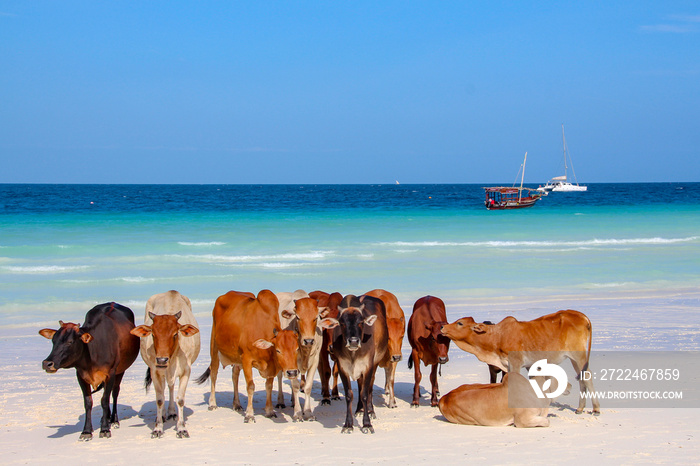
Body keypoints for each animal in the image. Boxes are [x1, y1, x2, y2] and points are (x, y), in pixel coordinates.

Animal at [39, 302, 140, 440]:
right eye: (53, 341)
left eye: (70, 342)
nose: (47, 363)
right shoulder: (81, 375)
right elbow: (88, 402)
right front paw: (87, 431)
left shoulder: (110, 374)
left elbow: (104, 400)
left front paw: (104, 429)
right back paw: (105, 418)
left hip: (120, 371)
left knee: (114, 393)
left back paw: (113, 420)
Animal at [131, 290, 200, 438]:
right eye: (153, 334)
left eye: (175, 334)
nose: (162, 360)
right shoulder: (155, 371)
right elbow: (159, 399)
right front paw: (158, 428)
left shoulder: (186, 371)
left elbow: (180, 399)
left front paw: (181, 428)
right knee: (163, 391)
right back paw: (162, 415)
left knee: (171, 386)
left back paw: (172, 412)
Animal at [194, 290, 300, 424]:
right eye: (278, 350)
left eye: (297, 349)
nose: (292, 372)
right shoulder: (246, 360)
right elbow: (250, 387)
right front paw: (249, 415)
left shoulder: (270, 367)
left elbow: (269, 387)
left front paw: (269, 411)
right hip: (214, 348)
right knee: (214, 374)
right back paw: (212, 403)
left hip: (236, 358)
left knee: (234, 376)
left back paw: (236, 404)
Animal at [322, 294, 392, 434]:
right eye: (342, 323)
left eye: (361, 322)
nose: (353, 341)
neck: (353, 354)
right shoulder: (342, 368)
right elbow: (349, 395)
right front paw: (348, 425)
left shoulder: (368, 366)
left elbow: (365, 394)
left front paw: (367, 424)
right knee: (360, 386)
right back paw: (359, 409)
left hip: (375, 364)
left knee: (369, 387)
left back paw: (370, 410)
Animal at [442, 310, 596, 416]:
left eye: (460, 323)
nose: (443, 327)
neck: (497, 337)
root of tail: (583, 316)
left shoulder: (515, 363)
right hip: (574, 359)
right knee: (582, 377)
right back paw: (580, 408)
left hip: (578, 355)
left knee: (587, 376)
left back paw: (596, 409)